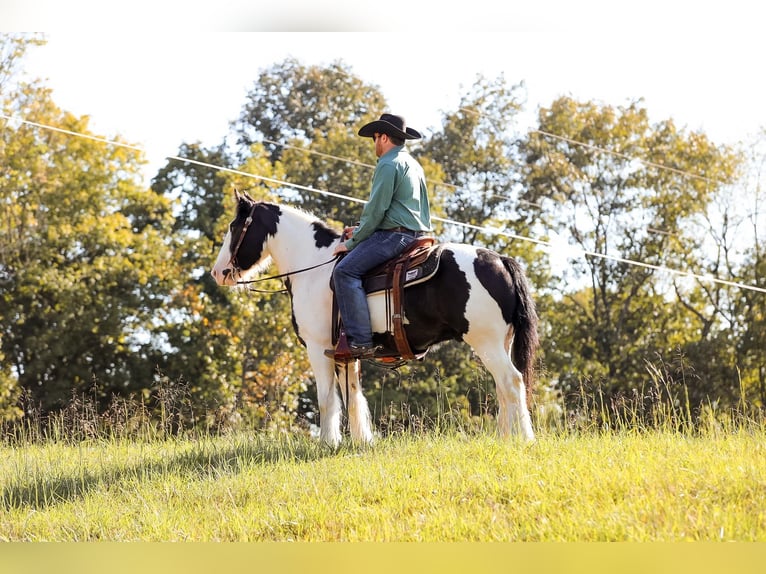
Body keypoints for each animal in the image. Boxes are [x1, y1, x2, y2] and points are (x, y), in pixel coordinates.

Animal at [210, 191, 540, 448]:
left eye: (234, 226)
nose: (217, 272)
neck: (314, 267)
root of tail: (500, 260)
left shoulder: (317, 348)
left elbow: (326, 398)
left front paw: (327, 443)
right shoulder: (346, 353)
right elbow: (353, 396)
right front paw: (360, 441)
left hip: (487, 342)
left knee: (512, 382)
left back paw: (523, 439)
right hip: (499, 342)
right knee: (503, 388)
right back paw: (505, 438)